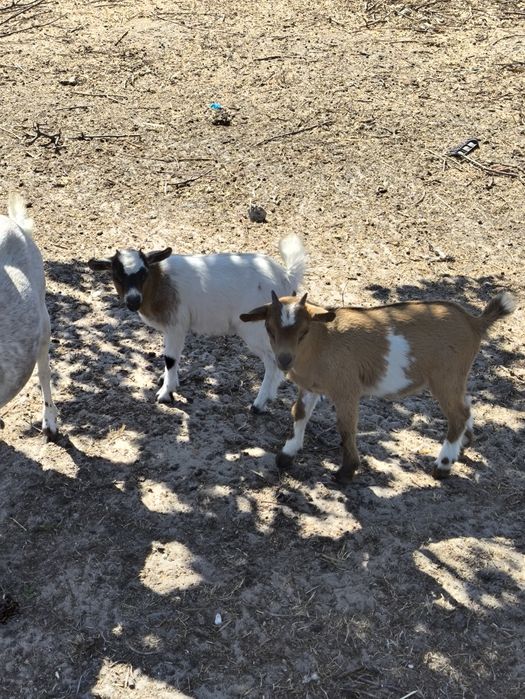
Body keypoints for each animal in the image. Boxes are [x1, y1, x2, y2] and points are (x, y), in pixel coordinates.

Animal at [88, 235, 306, 411]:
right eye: (116, 275)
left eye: (143, 273)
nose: (133, 300)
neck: (159, 282)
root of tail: (285, 277)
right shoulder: (170, 328)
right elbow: (170, 356)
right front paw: (166, 380)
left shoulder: (176, 325)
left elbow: (170, 358)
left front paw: (165, 393)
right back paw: (269, 396)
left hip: (255, 329)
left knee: (272, 361)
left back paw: (258, 404)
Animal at [240, 290, 516, 482]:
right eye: (268, 328)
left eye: (304, 331)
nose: (284, 360)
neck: (323, 342)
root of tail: (474, 322)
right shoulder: (311, 386)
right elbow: (299, 413)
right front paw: (287, 455)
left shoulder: (346, 389)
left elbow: (346, 428)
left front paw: (346, 472)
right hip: (456, 377)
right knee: (466, 405)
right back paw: (464, 442)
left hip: (445, 376)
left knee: (457, 414)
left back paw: (443, 466)